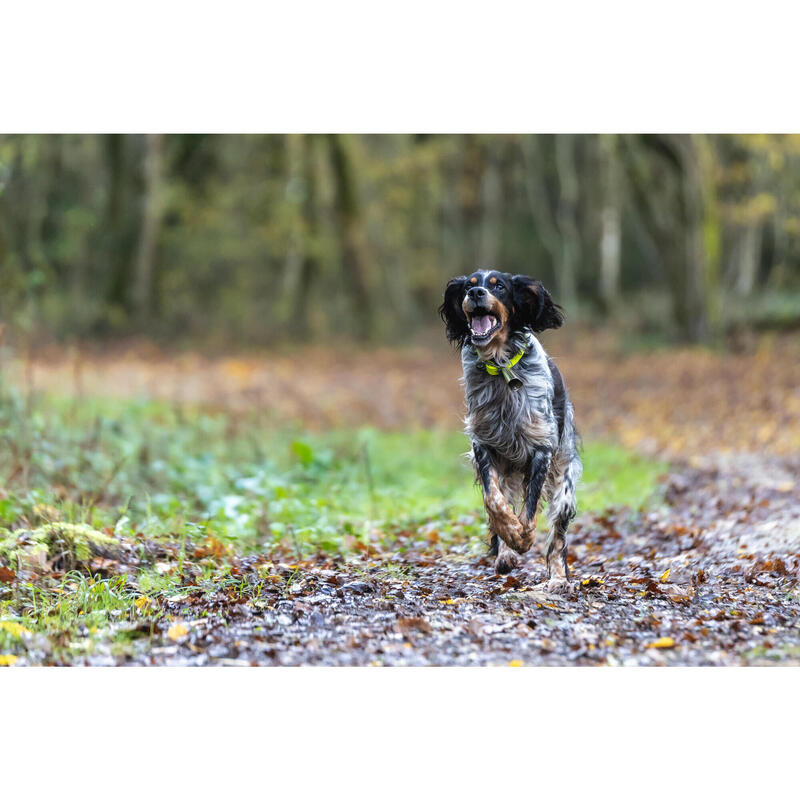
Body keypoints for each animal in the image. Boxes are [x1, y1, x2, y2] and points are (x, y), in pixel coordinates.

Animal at [438, 268, 580, 588]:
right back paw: (505, 553)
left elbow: (530, 510)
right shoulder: (483, 444)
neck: (500, 368)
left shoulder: (541, 447)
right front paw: (510, 536)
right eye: (468, 285)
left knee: (558, 535)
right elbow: (494, 501)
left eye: (499, 286)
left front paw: (523, 538)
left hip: (564, 479)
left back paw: (558, 578)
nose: (475, 293)